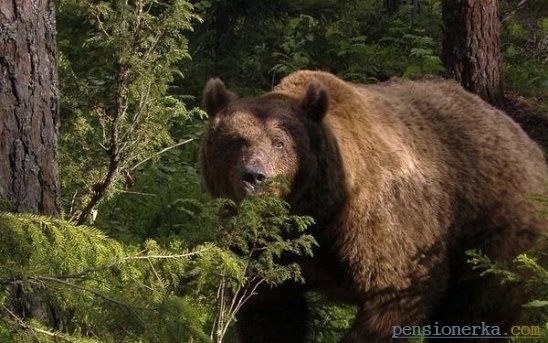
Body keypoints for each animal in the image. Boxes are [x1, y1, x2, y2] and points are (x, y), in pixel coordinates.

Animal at [199, 70, 544, 343]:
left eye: (280, 142)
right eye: (236, 140)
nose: (255, 176)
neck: (319, 211)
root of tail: (526, 140)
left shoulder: (381, 225)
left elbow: (396, 291)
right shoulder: (267, 247)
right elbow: (269, 308)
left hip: (493, 233)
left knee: (478, 310)